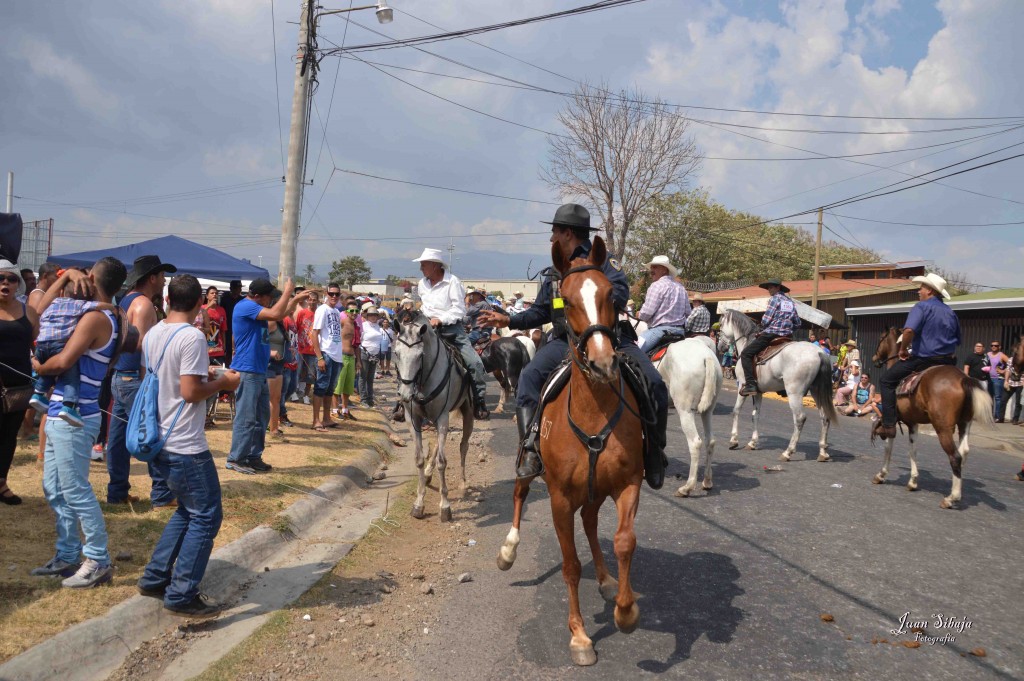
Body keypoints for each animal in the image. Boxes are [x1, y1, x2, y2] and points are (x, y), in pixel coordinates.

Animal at [393, 309, 473, 520]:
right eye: (396, 353)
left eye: (420, 355)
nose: (405, 394)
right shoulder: (413, 420)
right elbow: (419, 458)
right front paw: (419, 503)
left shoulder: (442, 417)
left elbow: (442, 462)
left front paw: (445, 506)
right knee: (438, 444)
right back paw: (429, 475)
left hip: (467, 413)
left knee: (463, 446)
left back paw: (463, 484)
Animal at [493, 236, 643, 667]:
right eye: (569, 300)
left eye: (611, 295)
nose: (604, 362)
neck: (593, 415)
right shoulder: (559, 498)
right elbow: (571, 565)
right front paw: (579, 636)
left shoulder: (628, 483)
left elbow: (624, 541)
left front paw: (625, 611)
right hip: (532, 469)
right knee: (520, 492)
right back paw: (508, 549)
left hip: (595, 491)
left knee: (591, 523)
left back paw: (607, 579)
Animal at [651, 337, 724, 493]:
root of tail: (706, 357)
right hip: (708, 410)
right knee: (710, 440)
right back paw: (707, 481)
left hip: (685, 411)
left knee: (695, 443)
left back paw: (687, 487)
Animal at [716, 309, 835, 462]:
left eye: (720, 325)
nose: (720, 347)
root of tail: (819, 352)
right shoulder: (758, 392)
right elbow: (755, 415)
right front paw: (752, 442)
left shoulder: (742, 386)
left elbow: (736, 410)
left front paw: (734, 441)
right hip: (816, 391)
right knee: (825, 417)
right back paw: (823, 452)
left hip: (794, 392)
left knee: (800, 418)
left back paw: (788, 452)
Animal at [872, 327, 991, 507]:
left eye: (881, 338)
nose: (875, 358)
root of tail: (964, 378)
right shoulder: (912, 422)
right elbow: (913, 450)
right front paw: (913, 481)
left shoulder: (893, 420)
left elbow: (889, 447)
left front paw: (881, 474)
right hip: (965, 423)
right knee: (964, 451)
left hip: (943, 428)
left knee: (955, 456)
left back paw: (952, 498)